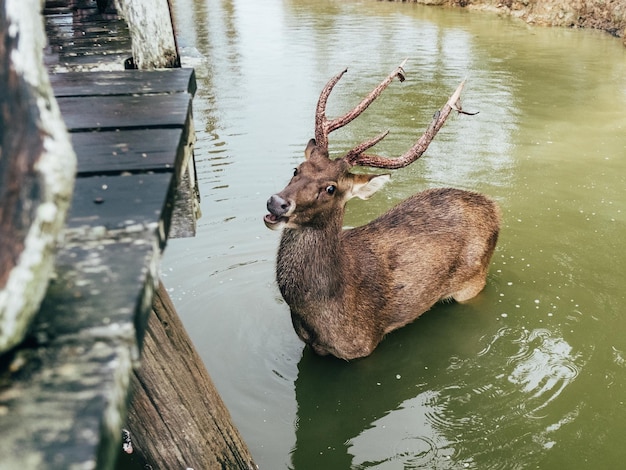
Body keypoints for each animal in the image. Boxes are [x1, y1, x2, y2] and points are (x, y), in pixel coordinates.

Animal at [262, 59, 498, 360]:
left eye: (331, 188)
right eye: (297, 169)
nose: (276, 202)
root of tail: (493, 208)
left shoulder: (363, 346)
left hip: (473, 280)